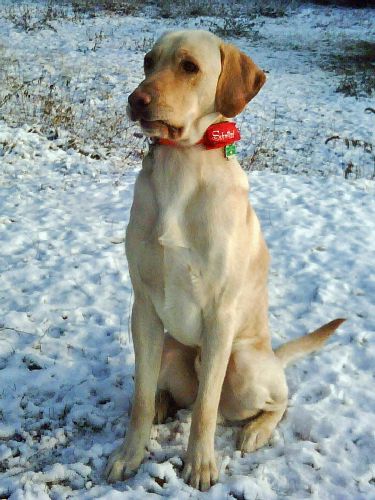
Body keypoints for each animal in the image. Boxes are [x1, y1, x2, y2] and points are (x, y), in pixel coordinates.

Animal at [106, 29, 346, 490]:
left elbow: (205, 408)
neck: (181, 163)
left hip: (245, 365)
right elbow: (140, 398)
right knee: (167, 390)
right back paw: (164, 402)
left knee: (276, 400)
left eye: (189, 67)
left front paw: (200, 465)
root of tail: (274, 354)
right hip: (169, 348)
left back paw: (256, 430)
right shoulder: (143, 307)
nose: (136, 100)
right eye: (148, 62)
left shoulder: (220, 315)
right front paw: (130, 455)